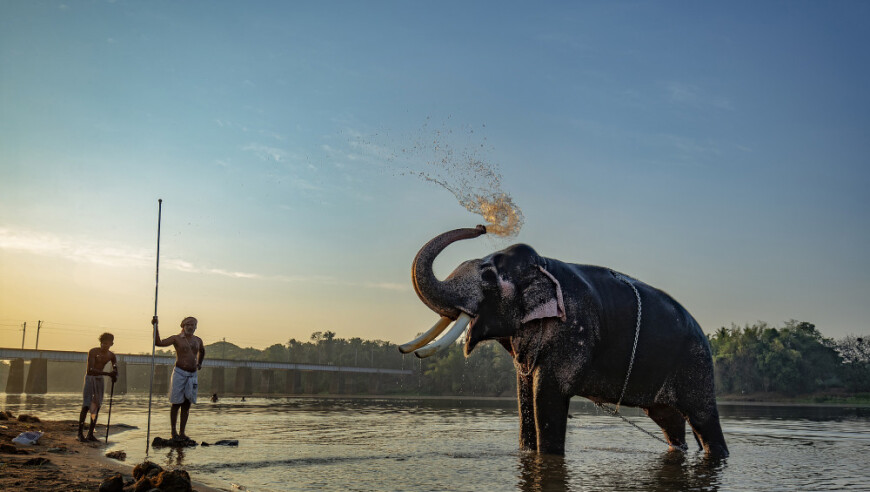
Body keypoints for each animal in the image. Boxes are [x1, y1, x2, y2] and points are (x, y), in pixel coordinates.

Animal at [400, 227, 728, 458]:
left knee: (703, 419)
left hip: (695, 364)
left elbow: (547, 394)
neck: (544, 265)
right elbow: (524, 395)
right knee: (669, 420)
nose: (481, 226)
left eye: (489, 276)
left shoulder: (573, 332)